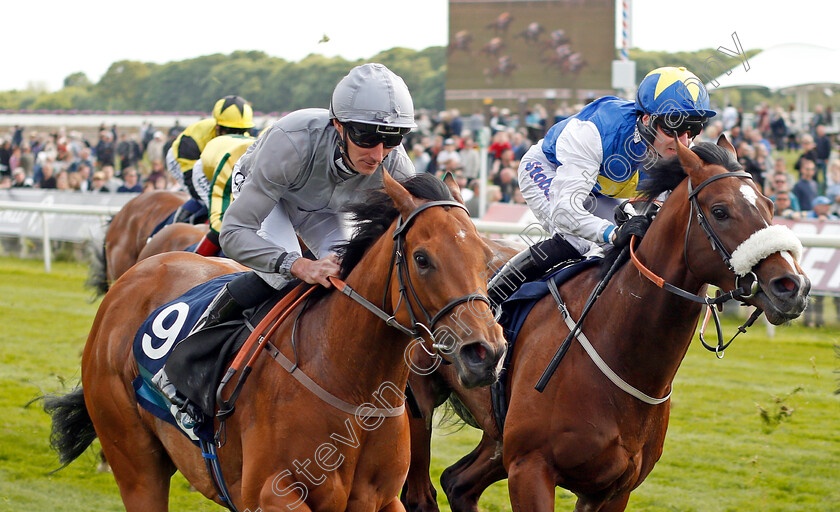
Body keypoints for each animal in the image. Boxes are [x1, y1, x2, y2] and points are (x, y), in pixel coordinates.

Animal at [46, 173, 506, 512]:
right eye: (422, 259)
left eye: (486, 258)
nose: (485, 353)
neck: (349, 381)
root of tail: (132, 280)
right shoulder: (272, 495)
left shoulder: (381, 499)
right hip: (137, 463)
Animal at [404, 137, 812, 512]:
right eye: (720, 210)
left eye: (770, 205)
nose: (793, 286)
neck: (619, 350)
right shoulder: (529, 469)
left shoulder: (614, 488)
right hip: (418, 405)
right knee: (420, 490)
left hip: (497, 438)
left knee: (457, 482)